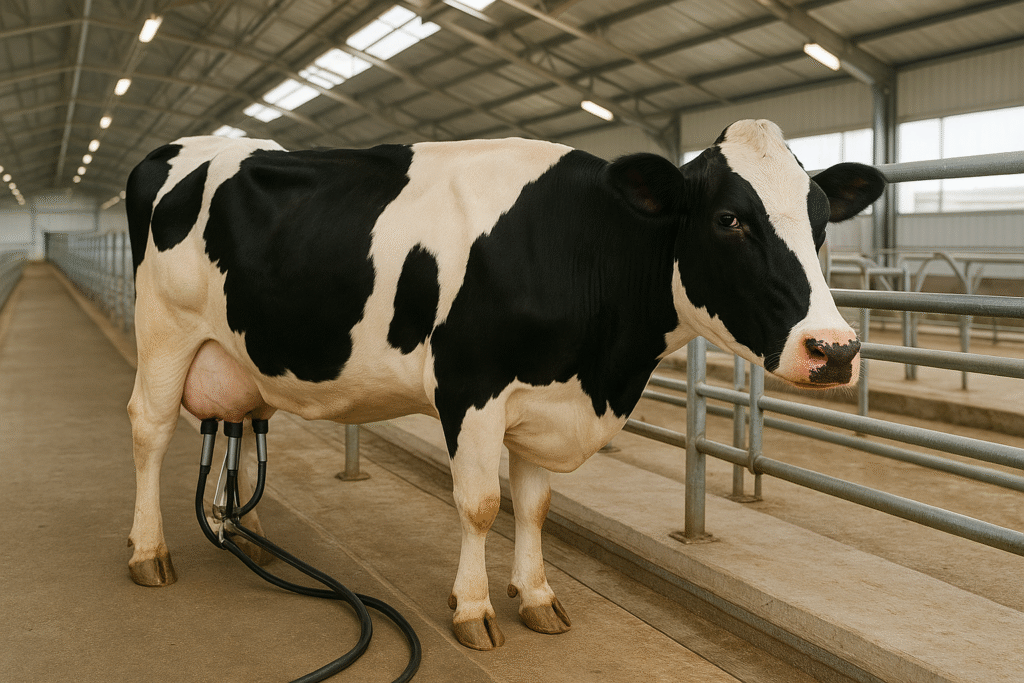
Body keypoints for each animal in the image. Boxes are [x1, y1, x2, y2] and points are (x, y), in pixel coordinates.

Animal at [124, 119, 884, 651]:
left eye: (820, 221)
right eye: (730, 219)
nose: (836, 349)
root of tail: (178, 148)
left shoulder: (545, 399)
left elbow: (536, 505)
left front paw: (537, 597)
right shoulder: (471, 387)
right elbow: (482, 504)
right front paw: (473, 607)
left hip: (238, 352)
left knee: (237, 427)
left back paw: (247, 535)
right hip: (165, 334)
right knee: (150, 432)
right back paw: (149, 552)